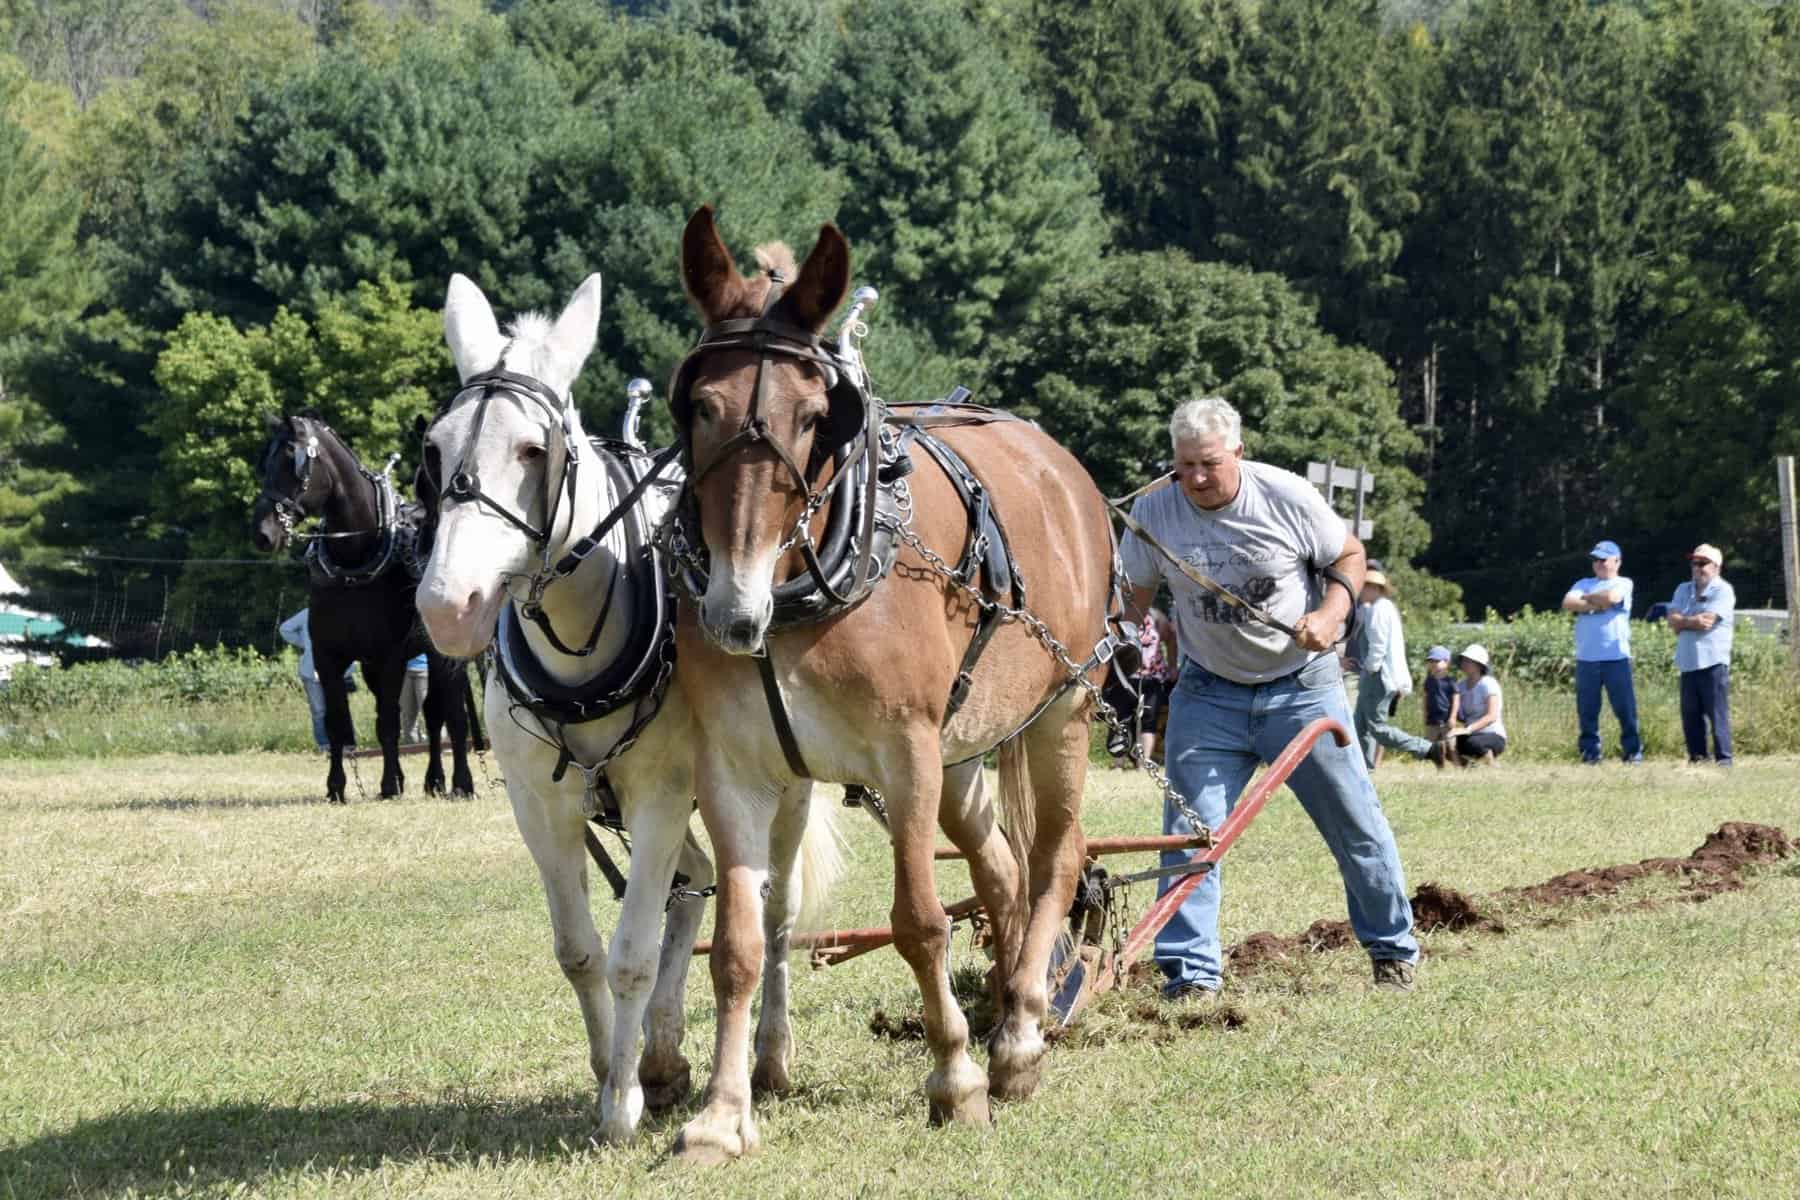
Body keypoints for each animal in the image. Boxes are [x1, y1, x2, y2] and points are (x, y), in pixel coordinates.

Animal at [255, 415, 478, 805]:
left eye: (291, 462)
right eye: (266, 463)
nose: (263, 532)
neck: (354, 560)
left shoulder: (390, 657)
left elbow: (389, 722)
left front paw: (389, 785)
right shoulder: (328, 657)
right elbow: (338, 725)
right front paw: (337, 787)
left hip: (439, 656)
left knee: (445, 713)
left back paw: (454, 782)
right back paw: (429, 781)